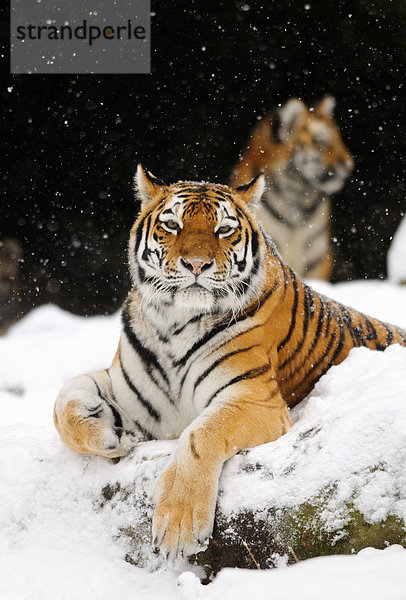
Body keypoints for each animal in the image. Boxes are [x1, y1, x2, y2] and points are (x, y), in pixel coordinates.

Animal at [54, 165, 406, 564]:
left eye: (224, 229)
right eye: (172, 225)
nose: (196, 264)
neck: (173, 325)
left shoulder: (255, 398)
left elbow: (201, 434)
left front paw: (177, 527)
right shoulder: (130, 393)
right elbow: (63, 402)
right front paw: (109, 435)